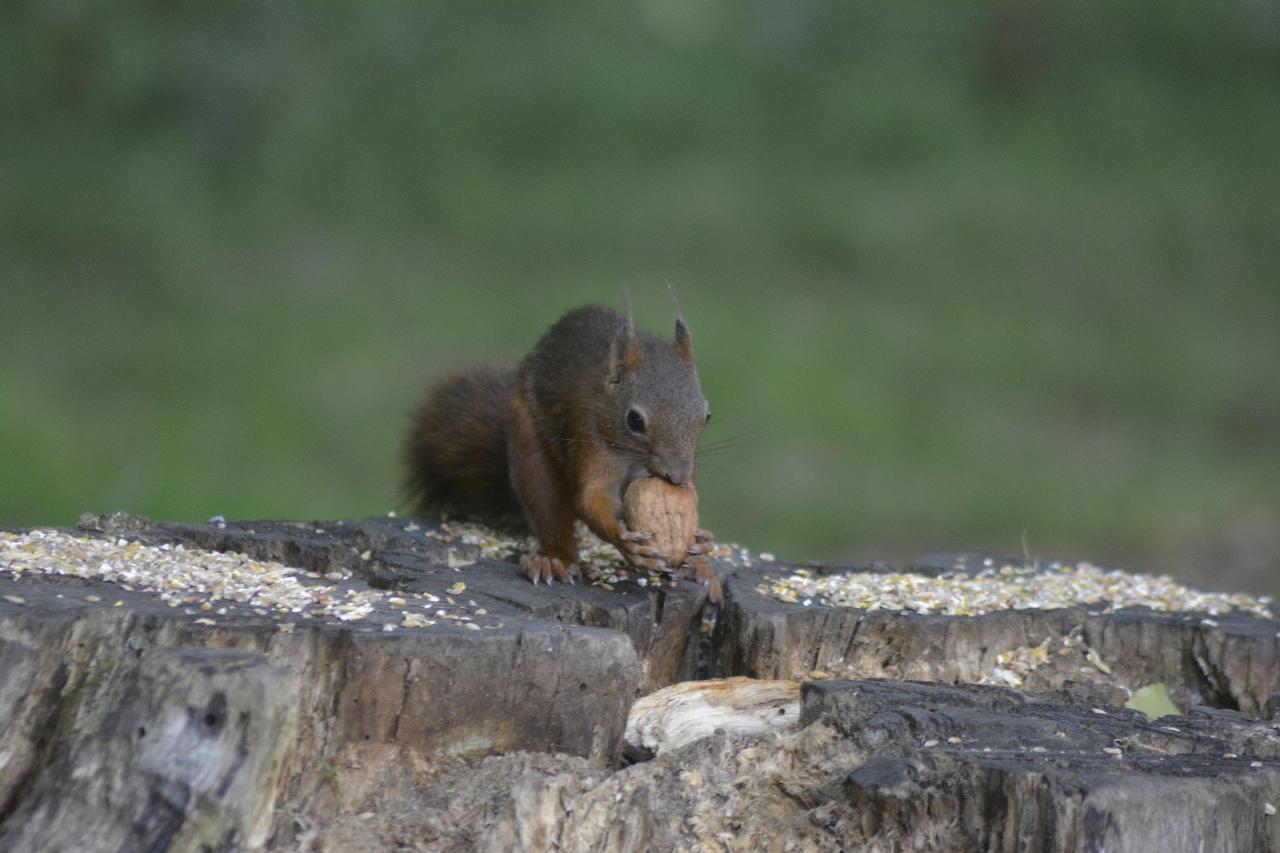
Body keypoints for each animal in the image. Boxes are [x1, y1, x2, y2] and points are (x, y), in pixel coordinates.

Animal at [401, 302, 721, 594]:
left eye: (706, 414)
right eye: (635, 420)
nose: (677, 477)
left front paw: (700, 543)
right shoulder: (588, 433)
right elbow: (590, 498)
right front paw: (625, 541)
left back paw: (700, 570)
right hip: (529, 448)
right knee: (549, 508)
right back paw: (556, 561)